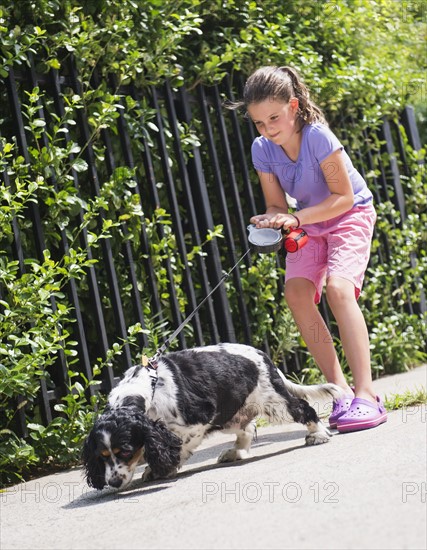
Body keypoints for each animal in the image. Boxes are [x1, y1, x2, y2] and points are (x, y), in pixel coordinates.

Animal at [83, 344, 344, 492]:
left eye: (126, 452)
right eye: (102, 456)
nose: (113, 483)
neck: (149, 389)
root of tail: (263, 355)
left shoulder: (198, 421)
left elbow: (179, 447)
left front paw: (164, 469)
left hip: (273, 402)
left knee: (302, 407)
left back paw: (319, 434)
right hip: (232, 412)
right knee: (246, 430)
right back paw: (235, 452)